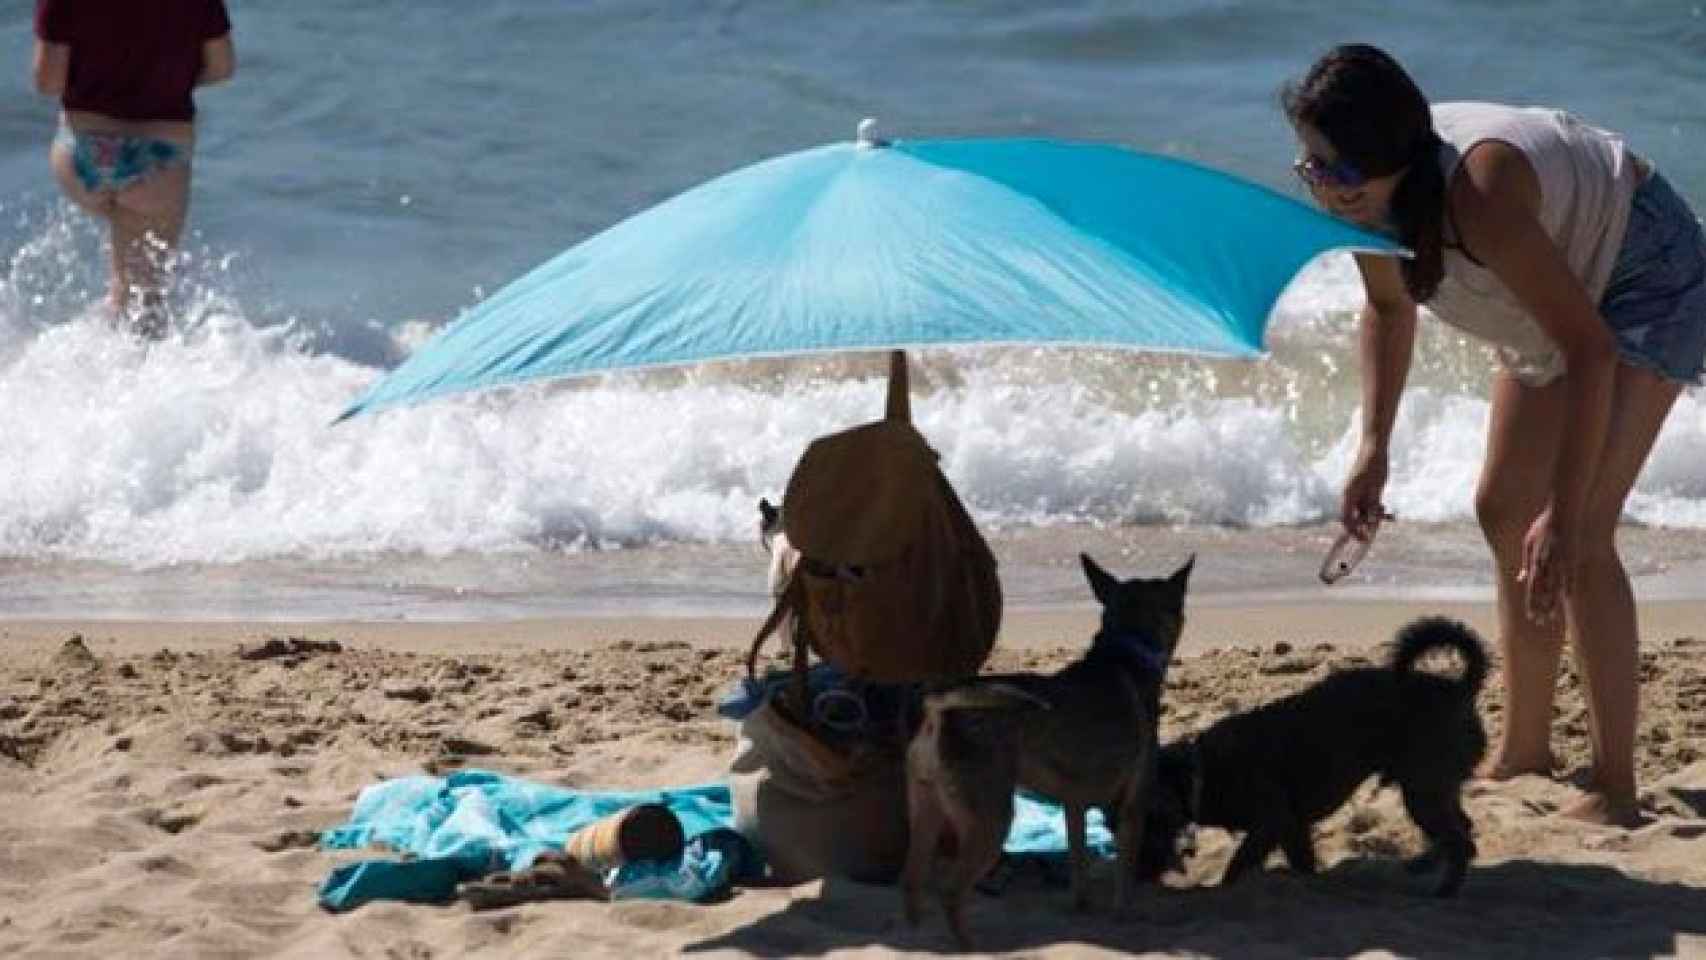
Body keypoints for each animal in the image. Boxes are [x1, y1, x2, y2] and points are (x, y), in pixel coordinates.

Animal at [900, 552, 1194, 948]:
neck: (1125, 650)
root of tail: (939, 709)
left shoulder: (1074, 805)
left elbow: (1078, 864)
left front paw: (1081, 907)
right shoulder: (1133, 807)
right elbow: (1125, 877)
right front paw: (1124, 914)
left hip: (927, 813)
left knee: (911, 882)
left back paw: (917, 939)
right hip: (991, 822)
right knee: (950, 892)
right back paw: (969, 948)